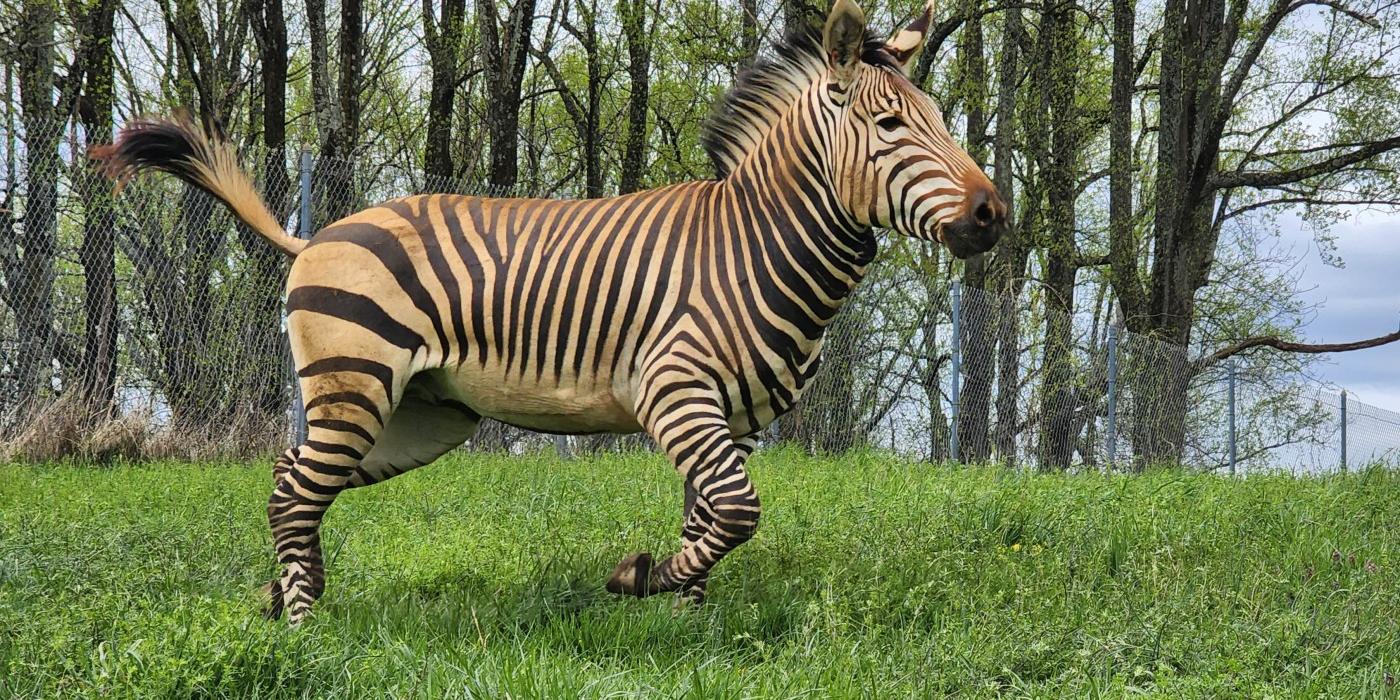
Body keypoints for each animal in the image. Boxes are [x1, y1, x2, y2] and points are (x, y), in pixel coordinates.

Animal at [98, 0, 1008, 624]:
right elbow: (738, 510)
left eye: (940, 121)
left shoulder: (734, 418)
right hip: (356, 387)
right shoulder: (675, 392)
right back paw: (303, 621)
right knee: (295, 491)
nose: (993, 213)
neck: (754, 245)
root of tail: (314, 235)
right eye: (890, 125)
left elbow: (711, 513)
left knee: (291, 478)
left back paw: (283, 593)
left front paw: (689, 620)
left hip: (421, 417)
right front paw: (638, 580)